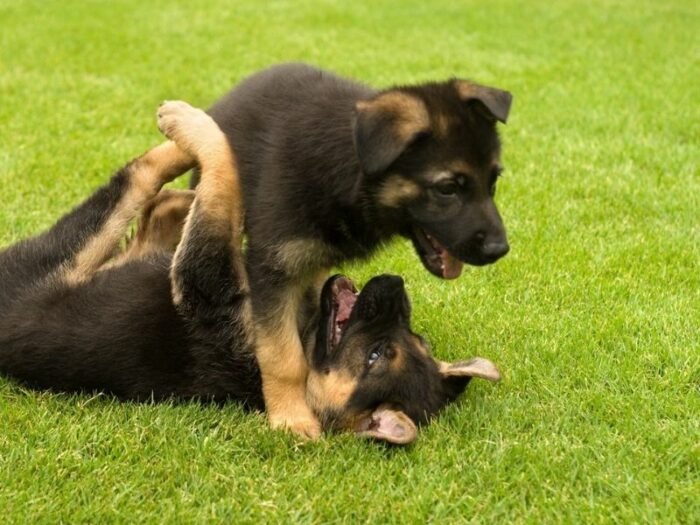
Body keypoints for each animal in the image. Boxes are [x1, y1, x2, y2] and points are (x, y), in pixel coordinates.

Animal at [1, 101, 504, 442]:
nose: (395, 288)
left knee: (138, 179)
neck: (304, 336)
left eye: (377, 356)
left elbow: (223, 186)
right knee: (154, 212)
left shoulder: (205, 282)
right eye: (415, 337)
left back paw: (179, 133)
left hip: (52, 257)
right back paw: (180, 190)